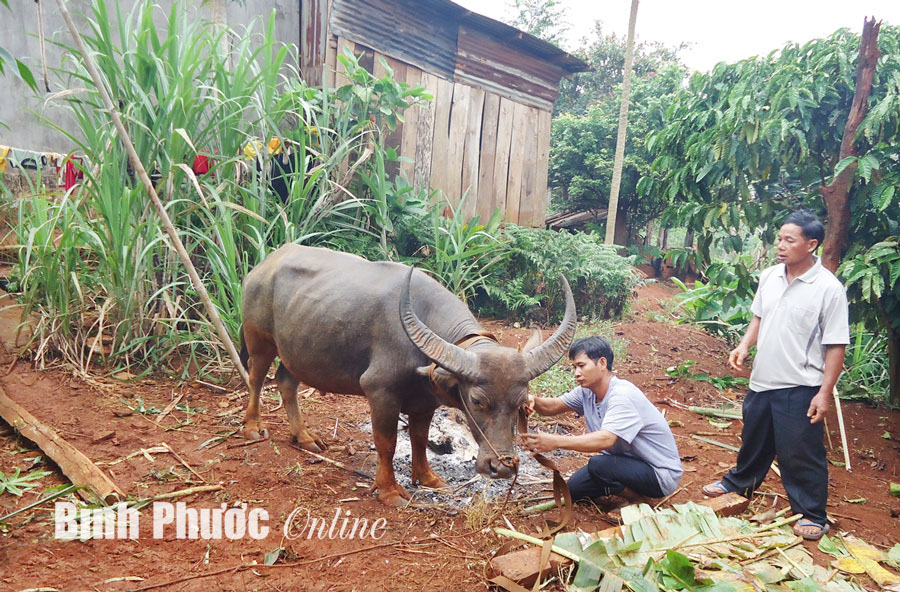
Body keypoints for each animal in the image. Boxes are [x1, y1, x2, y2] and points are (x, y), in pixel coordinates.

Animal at [239, 243, 576, 506]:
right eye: (478, 401)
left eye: (521, 404)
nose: (502, 467)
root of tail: (262, 267)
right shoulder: (380, 392)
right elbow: (386, 442)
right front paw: (389, 491)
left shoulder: (425, 401)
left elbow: (419, 438)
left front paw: (427, 478)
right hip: (260, 340)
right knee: (256, 377)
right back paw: (253, 427)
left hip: (295, 351)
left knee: (286, 381)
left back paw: (304, 436)